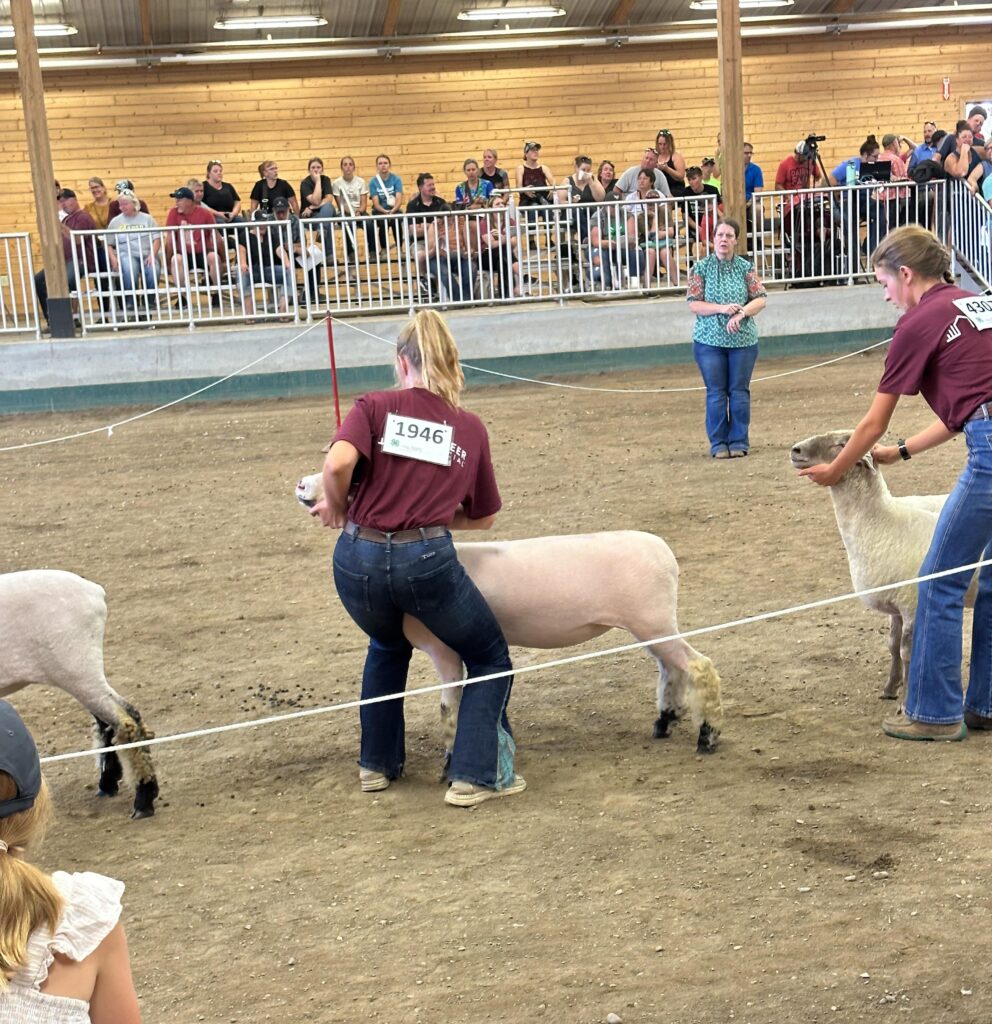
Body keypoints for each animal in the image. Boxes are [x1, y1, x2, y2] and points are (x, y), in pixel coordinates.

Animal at [0, 570, 159, 818]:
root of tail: (95, 592)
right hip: (82, 674)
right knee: (108, 722)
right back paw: (108, 783)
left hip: (78, 671)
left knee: (126, 720)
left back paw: (143, 800)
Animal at [296, 474, 723, 755]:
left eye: (354, 477)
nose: (301, 485)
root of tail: (664, 552)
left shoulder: (443, 648)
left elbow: (449, 705)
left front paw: (450, 757)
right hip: (649, 625)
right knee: (672, 670)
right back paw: (664, 722)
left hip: (652, 620)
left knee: (698, 666)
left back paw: (708, 735)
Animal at [790, 430, 976, 700]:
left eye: (841, 444)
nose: (795, 450)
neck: (882, 520)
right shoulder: (895, 605)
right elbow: (892, 645)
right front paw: (890, 687)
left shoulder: (912, 604)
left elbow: (907, 651)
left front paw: (906, 699)